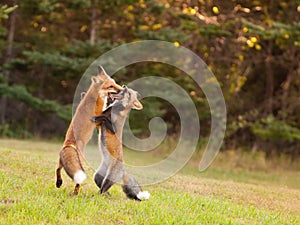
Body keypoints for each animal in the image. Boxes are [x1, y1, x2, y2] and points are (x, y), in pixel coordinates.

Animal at [55, 65, 122, 195]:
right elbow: (107, 111)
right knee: (76, 181)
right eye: (110, 86)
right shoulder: (97, 118)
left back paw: (59, 183)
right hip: (81, 164)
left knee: (58, 168)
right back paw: (75, 192)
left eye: (115, 83)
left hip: (62, 160)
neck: (95, 96)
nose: (122, 89)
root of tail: (69, 143)